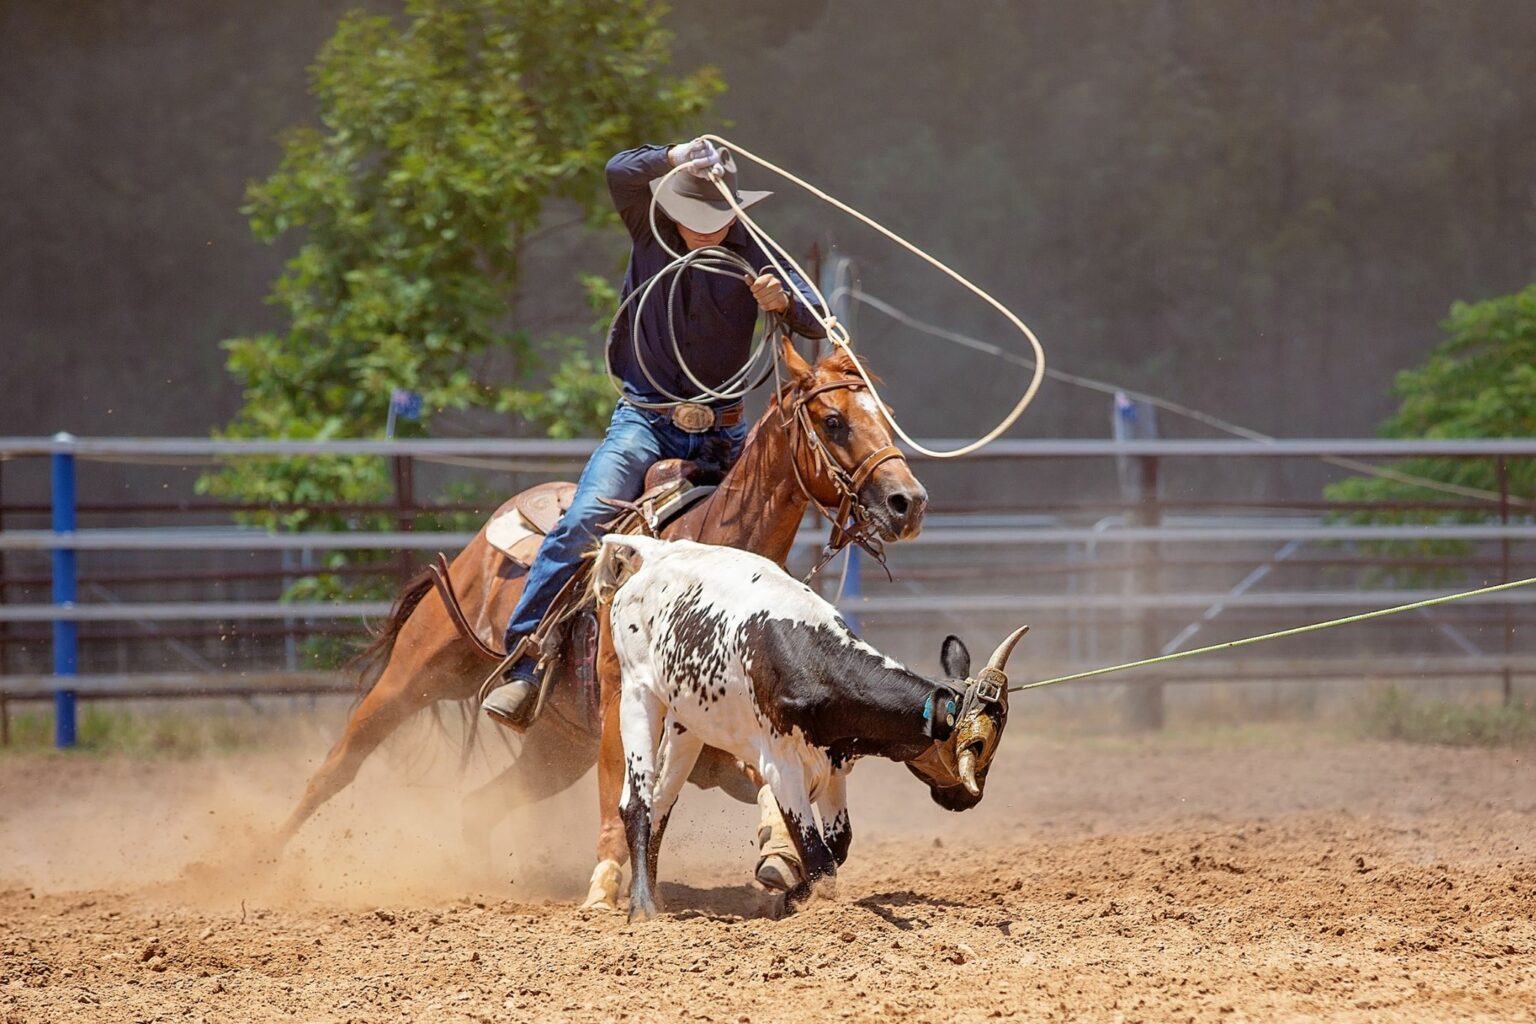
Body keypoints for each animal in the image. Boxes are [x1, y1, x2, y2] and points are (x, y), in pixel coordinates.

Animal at [273, 340, 921, 902]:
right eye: (834, 420)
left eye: (887, 420)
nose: (908, 503)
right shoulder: (621, 699)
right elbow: (622, 790)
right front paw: (608, 880)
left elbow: (766, 780)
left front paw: (780, 856)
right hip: (415, 675)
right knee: (338, 766)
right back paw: (263, 858)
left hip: (554, 750)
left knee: (481, 803)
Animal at [592, 537, 1026, 921]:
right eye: (977, 746)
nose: (968, 799)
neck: (812, 662)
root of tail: (655, 551)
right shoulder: (782, 770)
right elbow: (820, 860)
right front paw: (791, 902)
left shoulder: (833, 765)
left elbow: (837, 845)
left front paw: (787, 896)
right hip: (638, 696)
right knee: (636, 803)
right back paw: (642, 908)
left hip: (688, 725)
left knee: (662, 802)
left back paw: (653, 894)